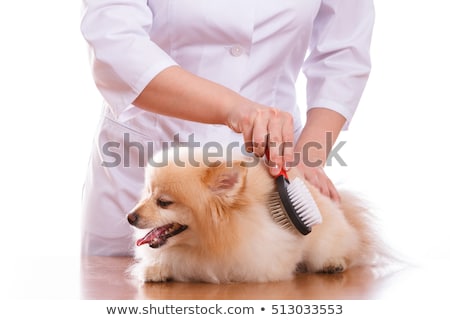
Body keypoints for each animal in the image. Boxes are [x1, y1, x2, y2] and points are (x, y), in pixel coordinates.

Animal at [126, 148, 384, 282]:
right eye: (146, 194)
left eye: (164, 203)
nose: (130, 217)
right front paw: (155, 269)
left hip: (323, 244)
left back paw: (334, 263)